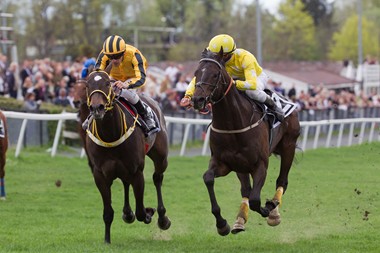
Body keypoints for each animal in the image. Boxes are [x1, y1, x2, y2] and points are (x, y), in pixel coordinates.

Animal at [85, 69, 171, 243]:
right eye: (87, 85)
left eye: (107, 83)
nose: (97, 108)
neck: (111, 134)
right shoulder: (99, 174)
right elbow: (108, 212)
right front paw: (107, 240)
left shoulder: (137, 171)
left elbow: (141, 212)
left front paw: (148, 213)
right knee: (126, 182)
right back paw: (127, 213)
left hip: (161, 157)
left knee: (157, 178)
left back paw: (162, 218)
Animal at [191, 49, 302, 235]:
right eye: (196, 73)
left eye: (215, 74)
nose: (196, 100)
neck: (232, 124)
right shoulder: (224, 163)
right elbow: (208, 178)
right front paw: (222, 224)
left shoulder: (261, 165)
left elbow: (256, 199)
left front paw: (268, 208)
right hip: (241, 166)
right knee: (246, 190)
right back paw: (240, 220)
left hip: (289, 145)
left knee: (282, 181)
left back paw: (274, 212)